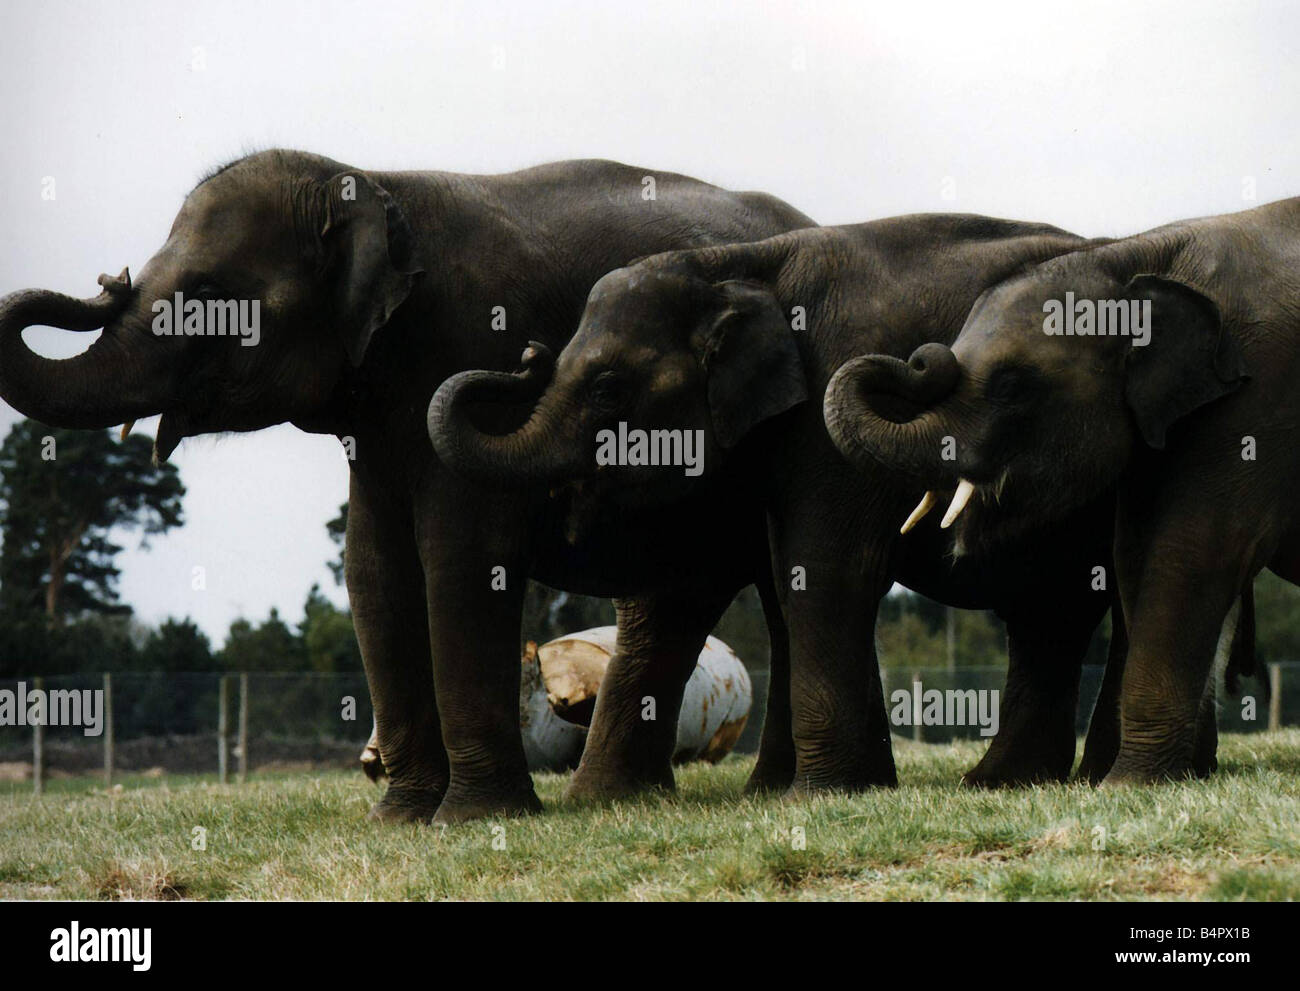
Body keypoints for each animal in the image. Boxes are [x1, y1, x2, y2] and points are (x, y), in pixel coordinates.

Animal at [0, 149, 815, 822]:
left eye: (207, 293)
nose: (106, 282)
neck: (369, 180)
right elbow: (373, 567)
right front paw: (399, 820)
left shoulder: (468, 339)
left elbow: (463, 553)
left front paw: (473, 819)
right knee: (677, 599)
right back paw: (618, 798)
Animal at [429, 213, 1151, 791]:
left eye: (607, 388)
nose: (526, 352)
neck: (743, 266)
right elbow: (747, 575)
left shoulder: (827, 418)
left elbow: (829, 565)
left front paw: (819, 795)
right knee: (1057, 611)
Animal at [823, 197, 1299, 783]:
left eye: (1011, 387)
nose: (921, 357)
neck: (1133, 257)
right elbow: (1134, 554)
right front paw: (1138, 778)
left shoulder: (1258, 394)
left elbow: (1196, 546)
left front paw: (1126, 785)